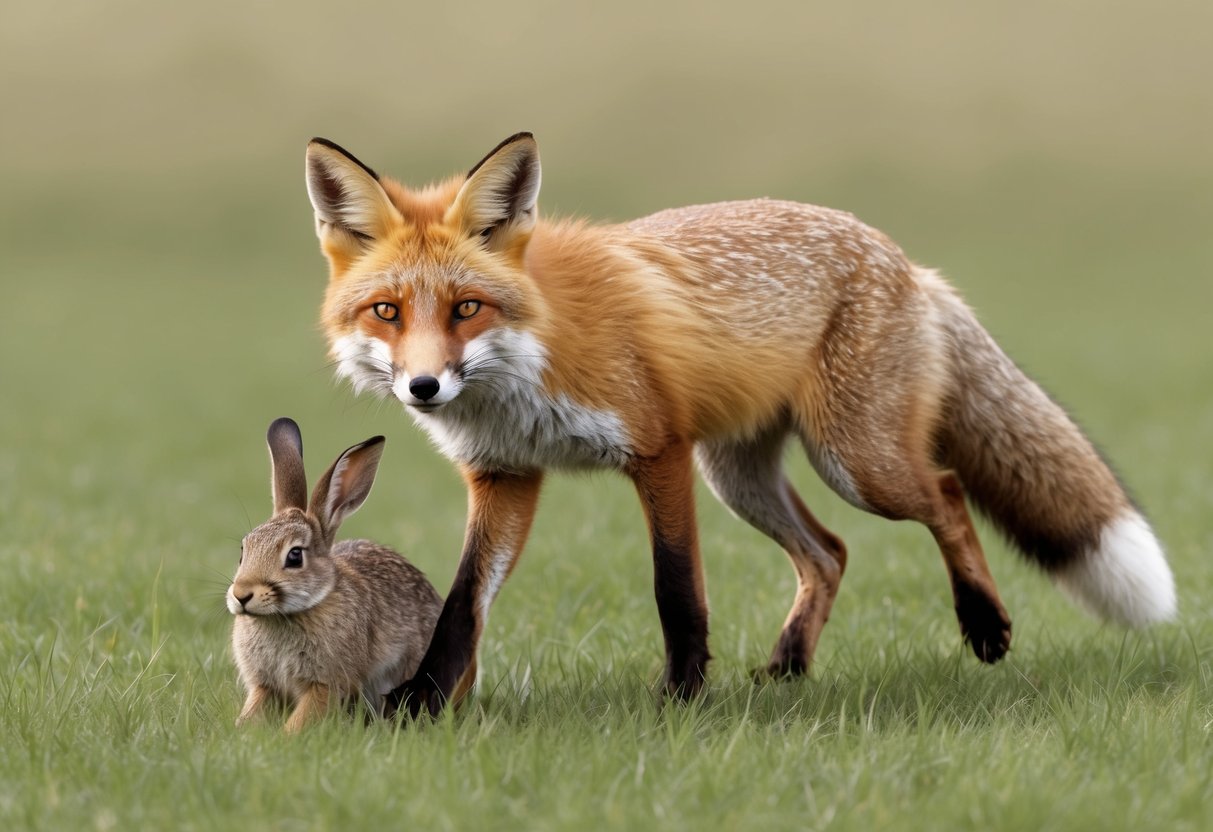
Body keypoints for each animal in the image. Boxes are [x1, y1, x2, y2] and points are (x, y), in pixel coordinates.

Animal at [225, 419, 443, 732]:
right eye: (244, 550)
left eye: (295, 556)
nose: (241, 595)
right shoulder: (264, 685)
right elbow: (254, 708)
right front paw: (243, 731)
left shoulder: (326, 684)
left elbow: (305, 714)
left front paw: (286, 737)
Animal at [300, 133, 1174, 717]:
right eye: (386, 312)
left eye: (466, 308)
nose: (423, 386)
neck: (532, 352)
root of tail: (905, 261)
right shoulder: (506, 475)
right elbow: (461, 604)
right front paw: (423, 699)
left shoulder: (658, 451)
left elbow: (676, 587)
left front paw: (681, 695)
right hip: (741, 476)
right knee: (829, 553)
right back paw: (788, 666)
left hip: (854, 463)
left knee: (948, 494)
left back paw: (983, 625)